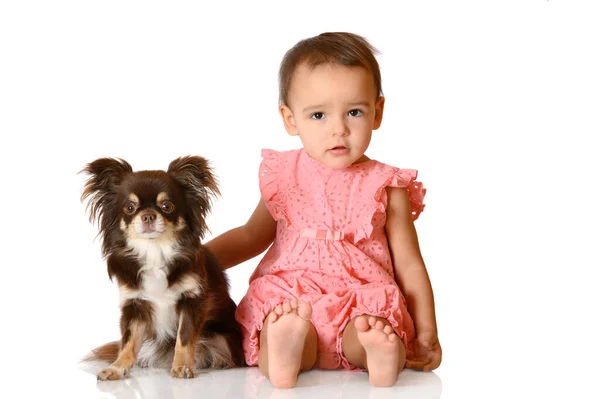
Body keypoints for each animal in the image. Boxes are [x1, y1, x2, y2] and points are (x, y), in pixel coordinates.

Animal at [81, 156, 244, 382]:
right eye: (129, 208)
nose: (148, 215)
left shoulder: (193, 300)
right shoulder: (135, 305)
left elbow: (184, 337)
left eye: (167, 206)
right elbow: (128, 342)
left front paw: (182, 366)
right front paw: (117, 368)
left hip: (223, 340)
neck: (155, 251)